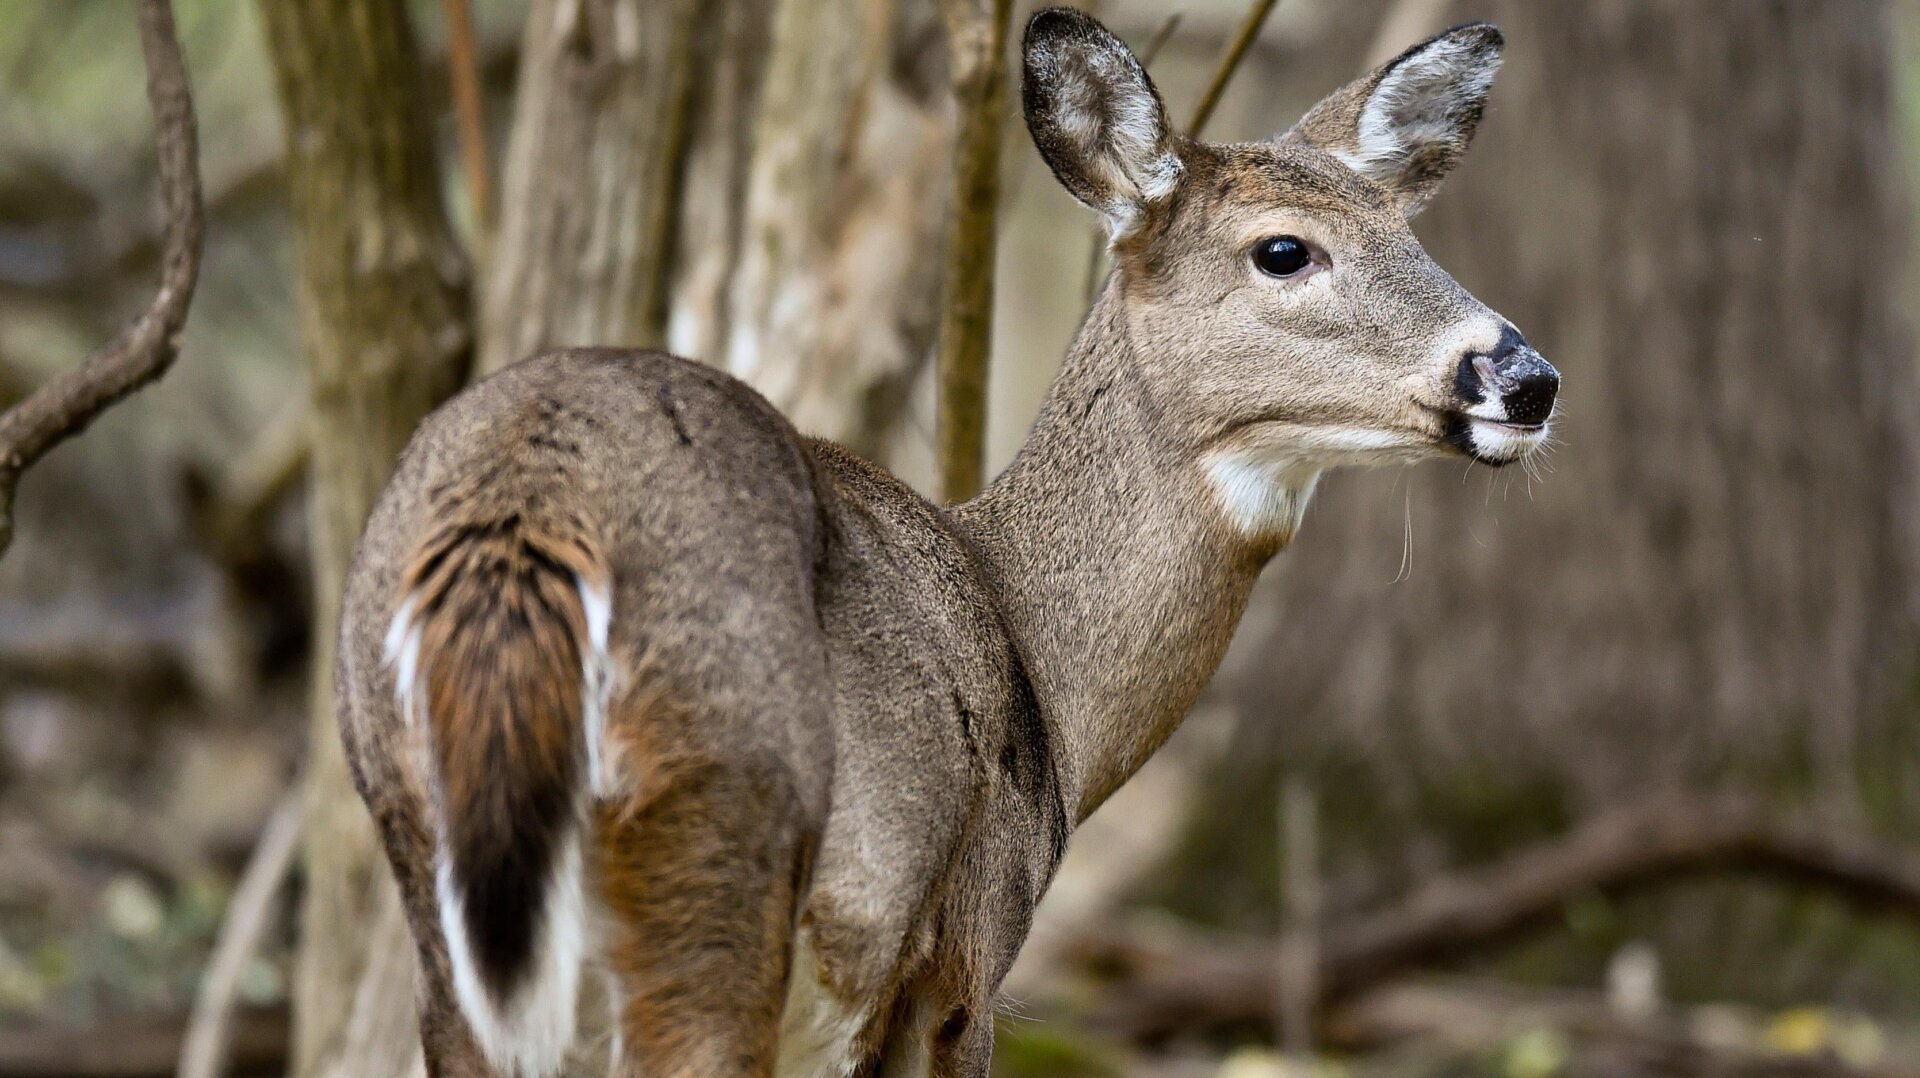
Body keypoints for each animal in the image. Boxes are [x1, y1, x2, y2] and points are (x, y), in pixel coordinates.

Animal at [334, 4, 1559, 1068]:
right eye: (1283, 251)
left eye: (1408, 233)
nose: (1527, 378)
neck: (1051, 689)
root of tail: (532, 511)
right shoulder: (962, 957)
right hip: (721, 847)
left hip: (436, 902)